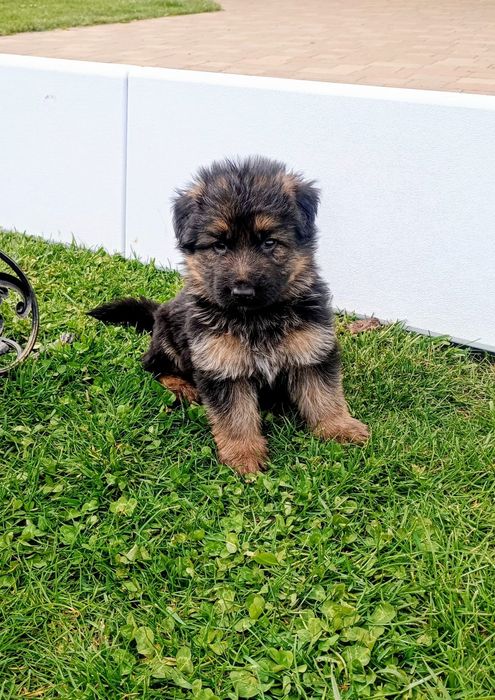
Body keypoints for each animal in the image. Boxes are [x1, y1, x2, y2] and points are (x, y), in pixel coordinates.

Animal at [89, 156, 368, 474]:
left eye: (269, 242)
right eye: (220, 245)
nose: (243, 291)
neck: (257, 319)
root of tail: (158, 312)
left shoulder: (312, 353)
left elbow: (325, 396)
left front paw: (339, 428)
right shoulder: (221, 367)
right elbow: (236, 418)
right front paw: (244, 456)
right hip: (168, 340)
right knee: (153, 366)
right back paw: (182, 387)